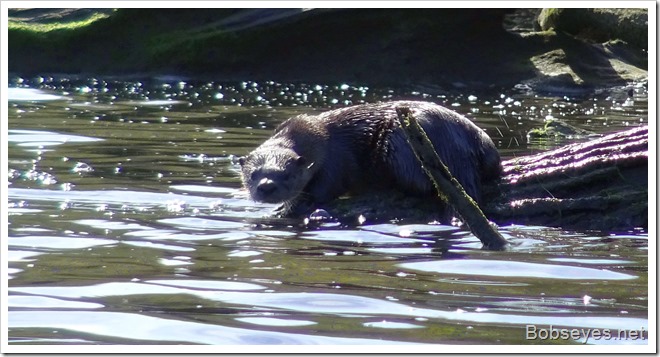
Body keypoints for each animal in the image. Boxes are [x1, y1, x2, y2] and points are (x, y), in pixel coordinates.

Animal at [237, 100, 500, 217]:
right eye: (253, 175)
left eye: (287, 175)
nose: (266, 187)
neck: (314, 138)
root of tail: (455, 146)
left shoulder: (334, 161)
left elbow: (325, 189)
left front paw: (290, 206)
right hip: (487, 147)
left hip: (398, 143)